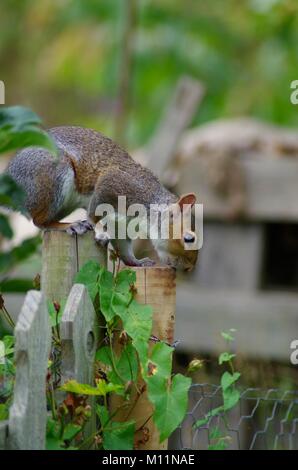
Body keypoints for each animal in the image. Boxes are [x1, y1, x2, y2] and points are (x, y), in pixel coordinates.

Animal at [7, 126, 198, 270]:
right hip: (53, 177)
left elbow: (123, 246)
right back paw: (71, 225)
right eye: (189, 238)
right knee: (39, 221)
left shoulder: (121, 225)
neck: (148, 203)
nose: (189, 268)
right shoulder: (113, 184)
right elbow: (94, 213)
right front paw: (96, 229)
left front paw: (136, 262)